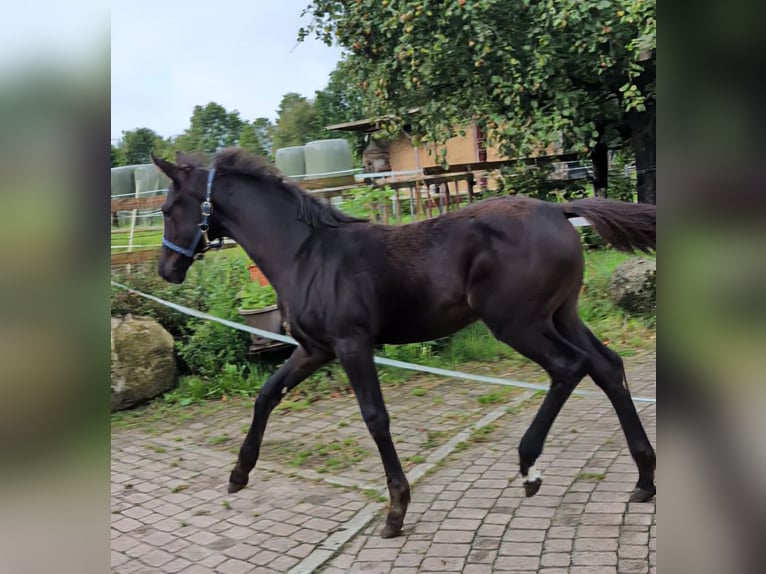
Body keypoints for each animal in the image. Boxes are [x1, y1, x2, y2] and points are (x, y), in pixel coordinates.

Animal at [153, 148, 656, 540]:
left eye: (167, 208)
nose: (165, 269)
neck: (305, 255)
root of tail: (557, 210)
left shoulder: (352, 344)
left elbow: (375, 418)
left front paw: (396, 511)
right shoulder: (316, 349)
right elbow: (267, 394)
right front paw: (239, 473)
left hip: (519, 323)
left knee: (569, 367)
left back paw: (529, 466)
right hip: (561, 313)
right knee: (606, 365)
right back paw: (644, 477)